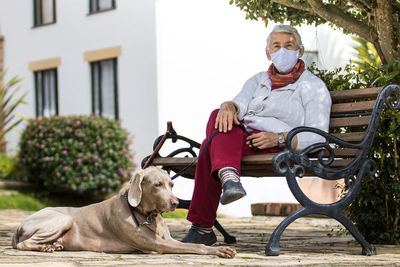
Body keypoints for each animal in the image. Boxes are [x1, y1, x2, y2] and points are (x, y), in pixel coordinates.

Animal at [12, 168, 236, 260]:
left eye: (171, 184)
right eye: (157, 185)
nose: (174, 203)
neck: (147, 214)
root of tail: (17, 227)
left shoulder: (168, 240)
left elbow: (190, 244)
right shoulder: (156, 244)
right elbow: (196, 246)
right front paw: (220, 250)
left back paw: (53, 245)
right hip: (64, 217)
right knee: (24, 244)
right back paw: (45, 247)